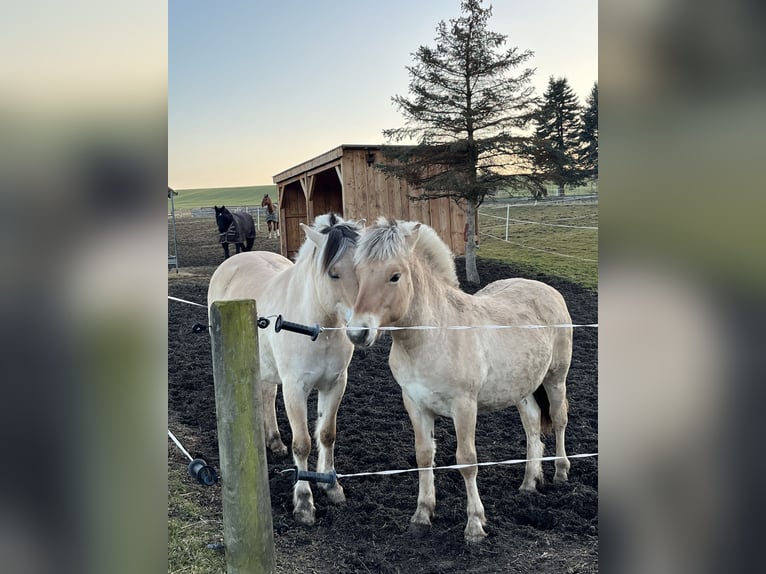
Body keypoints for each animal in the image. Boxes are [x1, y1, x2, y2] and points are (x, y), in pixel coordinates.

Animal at [207, 215, 364, 528]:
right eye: (333, 274)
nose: (362, 328)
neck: (317, 327)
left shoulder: (335, 384)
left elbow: (327, 434)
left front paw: (331, 486)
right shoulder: (295, 388)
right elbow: (302, 444)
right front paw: (304, 504)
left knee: (267, 396)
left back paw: (275, 442)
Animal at [348, 219, 576, 544]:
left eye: (395, 276)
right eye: (359, 273)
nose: (357, 333)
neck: (436, 334)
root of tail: (547, 289)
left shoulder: (464, 406)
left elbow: (467, 460)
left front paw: (475, 525)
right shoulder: (415, 405)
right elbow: (423, 456)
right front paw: (421, 516)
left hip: (556, 378)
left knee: (558, 421)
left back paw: (560, 472)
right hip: (522, 388)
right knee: (532, 425)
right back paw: (529, 482)